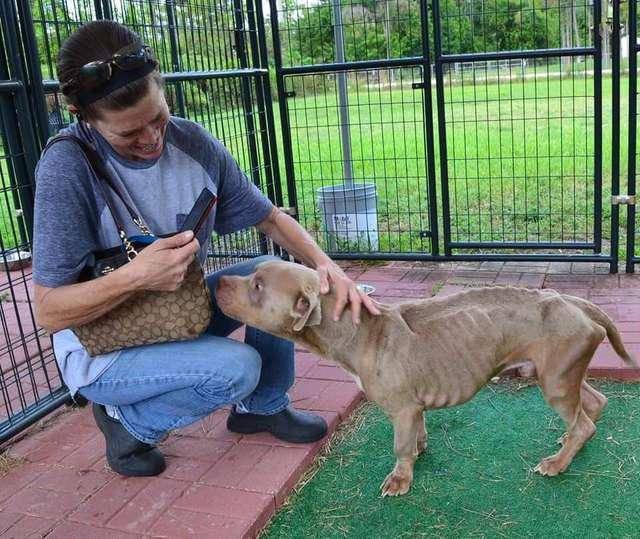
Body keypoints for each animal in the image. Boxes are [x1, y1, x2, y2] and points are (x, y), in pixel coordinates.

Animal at [216, 262, 636, 498]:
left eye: (257, 285)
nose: (217, 282)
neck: (357, 331)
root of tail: (574, 301)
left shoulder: (401, 409)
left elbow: (400, 446)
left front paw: (400, 480)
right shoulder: (414, 407)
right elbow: (416, 435)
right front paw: (419, 451)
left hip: (556, 382)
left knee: (584, 422)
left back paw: (558, 463)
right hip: (562, 372)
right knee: (593, 404)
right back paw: (568, 443)